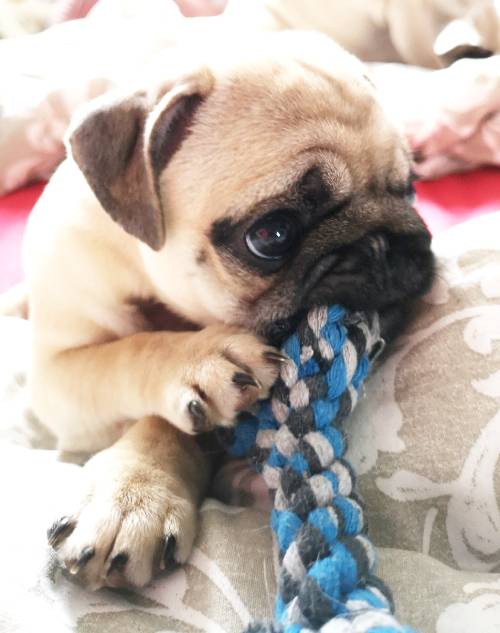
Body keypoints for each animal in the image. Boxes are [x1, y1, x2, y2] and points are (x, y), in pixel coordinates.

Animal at [19, 27, 434, 590]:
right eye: (272, 234)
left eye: (408, 189)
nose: (383, 244)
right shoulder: (58, 374)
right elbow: (128, 354)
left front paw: (138, 487)